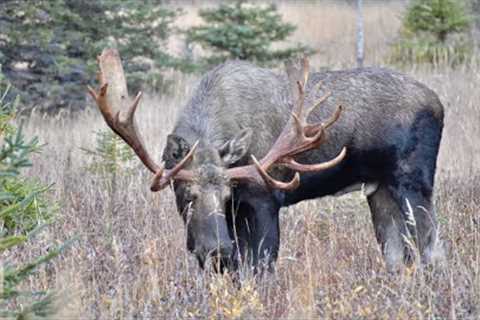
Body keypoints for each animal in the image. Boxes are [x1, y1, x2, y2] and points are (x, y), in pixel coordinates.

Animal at [89, 48, 442, 274]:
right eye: (186, 196)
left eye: (226, 194)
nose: (218, 249)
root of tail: (438, 104)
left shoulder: (264, 200)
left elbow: (260, 268)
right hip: (379, 188)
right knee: (397, 253)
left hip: (413, 181)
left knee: (431, 246)